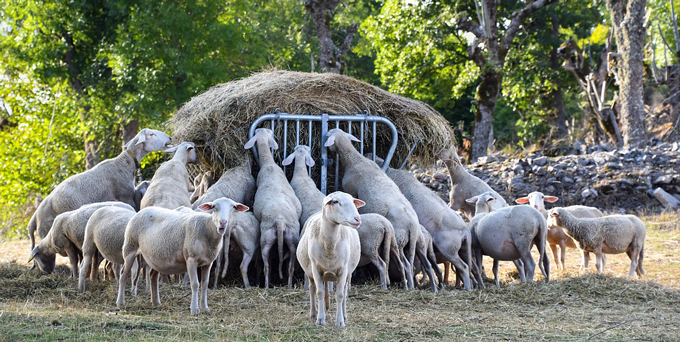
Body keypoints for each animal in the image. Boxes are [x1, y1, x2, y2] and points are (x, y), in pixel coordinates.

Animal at [27, 128, 171, 248]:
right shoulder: (125, 196)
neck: (125, 163)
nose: (169, 138)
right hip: (47, 229)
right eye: (152, 134)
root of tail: (35, 217)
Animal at [117, 196, 250, 314]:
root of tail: (141, 211)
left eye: (233, 207)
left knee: (153, 276)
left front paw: (205, 307)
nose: (223, 223)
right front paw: (195, 309)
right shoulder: (191, 258)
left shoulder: (208, 262)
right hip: (130, 247)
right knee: (123, 274)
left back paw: (156, 302)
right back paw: (120, 302)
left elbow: (205, 284)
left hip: (156, 256)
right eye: (213, 207)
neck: (207, 229)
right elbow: (195, 284)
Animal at [243, 127, 298, 288]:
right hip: (284, 238)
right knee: (281, 266)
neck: (269, 164)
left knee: (271, 266)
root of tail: (280, 220)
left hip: (275, 239)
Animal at [294, 191, 364, 328]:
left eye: (353, 201)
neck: (330, 245)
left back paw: (344, 314)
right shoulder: (316, 269)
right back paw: (314, 313)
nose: (357, 219)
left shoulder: (343, 270)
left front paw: (340, 321)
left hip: (347, 273)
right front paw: (320, 319)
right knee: (312, 289)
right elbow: (319, 293)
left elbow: (340, 295)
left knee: (344, 292)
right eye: (336, 202)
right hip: (310, 273)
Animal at [326, 128, 420, 288]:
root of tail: (412, 225)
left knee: (402, 263)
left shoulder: (350, 189)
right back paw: (409, 286)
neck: (354, 159)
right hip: (404, 243)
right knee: (408, 264)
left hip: (398, 239)